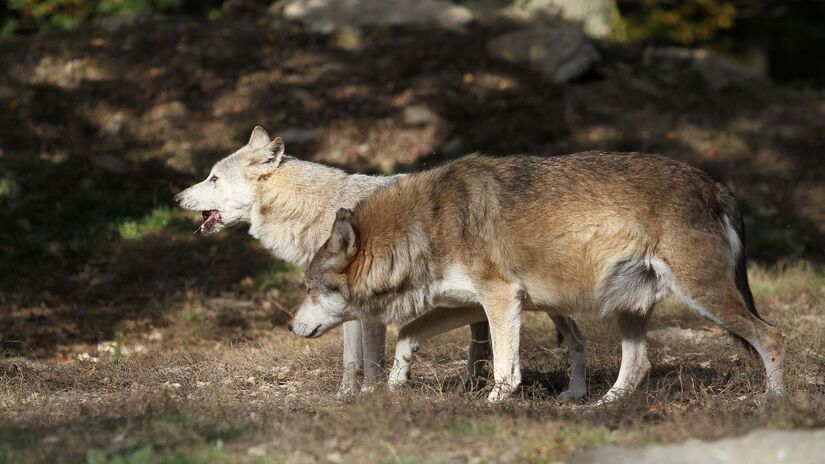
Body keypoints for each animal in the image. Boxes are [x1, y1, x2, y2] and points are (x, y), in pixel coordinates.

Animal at [174, 127, 588, 399]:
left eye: (213, 178)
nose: (177, 198)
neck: (322, 211)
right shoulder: (349, 310)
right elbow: (350, 361)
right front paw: (345, 398)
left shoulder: (367, 312)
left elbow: (369, 360)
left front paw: (369, 395)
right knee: (491, 343)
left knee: (575, 340)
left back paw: (573, 394)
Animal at [290, 152, 785, 402]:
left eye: (310, 289)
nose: (291, 326)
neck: (425, 224)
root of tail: (717, 185)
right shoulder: (474, 303)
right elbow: (409, 334)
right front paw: (395, 385)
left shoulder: (501, 298)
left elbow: (505, 369)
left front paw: (494, 404)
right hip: (628, 307)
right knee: (639, 364)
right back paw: (602, 407)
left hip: (704, 298)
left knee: (771, 337)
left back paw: (775, 403)